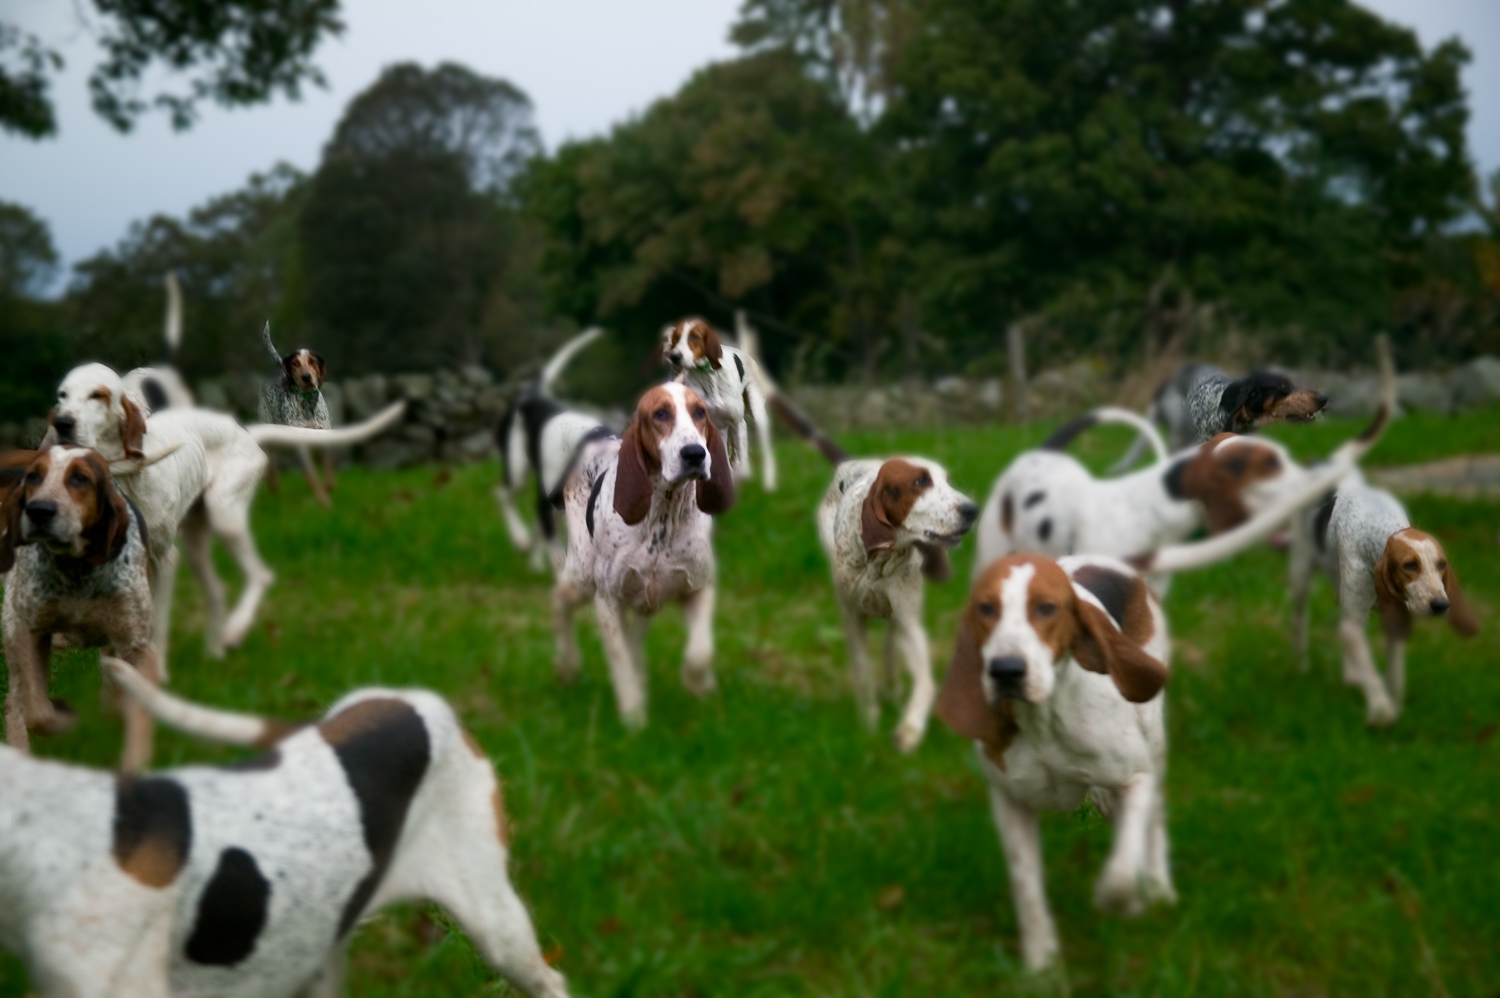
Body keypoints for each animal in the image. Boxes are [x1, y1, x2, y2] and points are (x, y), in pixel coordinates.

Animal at [261, 319, 337, 507]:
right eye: (295, 363)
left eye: (313, 361)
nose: (306, 377)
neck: (307, 403)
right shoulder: (300, 444)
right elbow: (311, 475)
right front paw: (322, 500)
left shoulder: (324, 434)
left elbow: (329, 476)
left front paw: (325, 491)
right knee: (271, 464)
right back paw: (273, 487)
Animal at [555, 379, 735, 723]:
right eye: (660, 414)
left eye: (700, 412)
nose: (695, 453)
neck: (663, 516)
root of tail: (599, 436)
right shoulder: (607, 602)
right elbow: (620, 661)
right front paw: (634, 717)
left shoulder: (699, 588)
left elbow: (700, 652)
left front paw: (698, 685)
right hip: (581, 578)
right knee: (557, 601)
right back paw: (567, 665)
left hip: (643, 602)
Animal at [936, 549, 1170, 966]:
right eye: (985, 608)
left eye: (1046, 608)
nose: (1006, 670)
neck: (1043, 719)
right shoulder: (1010, 802)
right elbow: (1026, 885)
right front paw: (1041, 961)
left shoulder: (1137, 778)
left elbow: (1122, 874)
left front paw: (1122, 903)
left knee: (1152, 819)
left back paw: (1158, 886)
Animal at [1290, 468, 1476, 723]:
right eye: (1410, 565)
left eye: (1441, 565)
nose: (1440, 605)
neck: (1378, 524)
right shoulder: (1354, 620)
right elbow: (1370, 672)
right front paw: (1381, 710)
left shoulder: (1394, 619)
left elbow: (1394, 670)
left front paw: (1396, 701)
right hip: (1301, 573)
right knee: (1300, 620)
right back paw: (1301, 663)